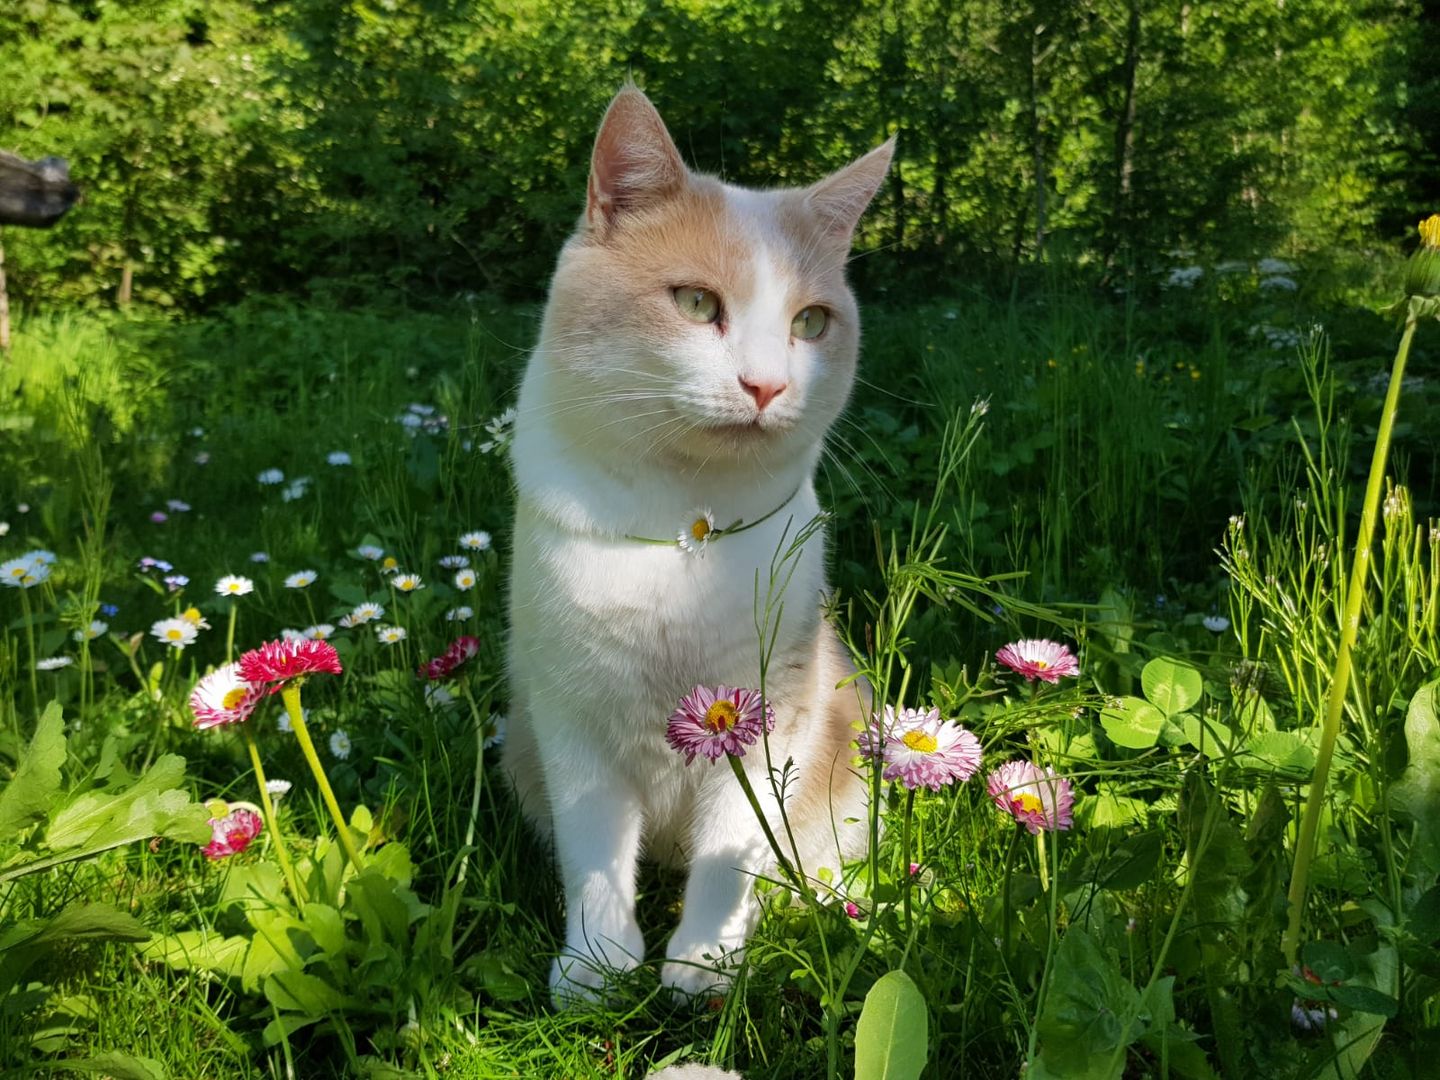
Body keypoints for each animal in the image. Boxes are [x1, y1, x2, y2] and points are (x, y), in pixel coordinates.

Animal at [504, 84, 887, 1008]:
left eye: (811, 322)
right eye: (696, 304)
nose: (767, 384)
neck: (687, 534)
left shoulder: (773, 712)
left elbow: (730, 852)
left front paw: (704, 965)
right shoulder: (570, 717)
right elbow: (596, 856)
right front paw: (597, 966)